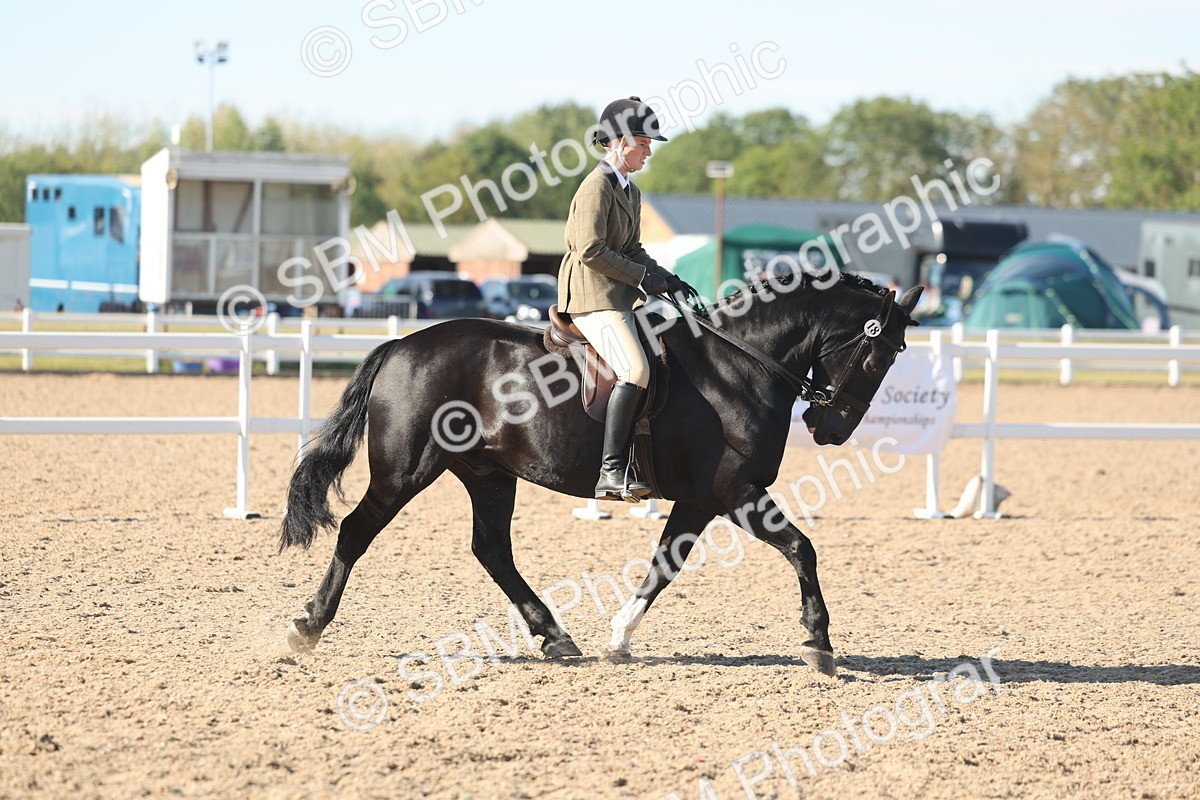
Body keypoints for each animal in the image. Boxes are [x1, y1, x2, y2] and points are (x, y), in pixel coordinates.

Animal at [279, 271, 922, 676]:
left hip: (488, 475)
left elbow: (664, 566)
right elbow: (801, 548)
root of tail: (401, 344)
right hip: (405, 472)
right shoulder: (734, 491)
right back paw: (308, 626)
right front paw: (819, 642)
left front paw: (618, 638)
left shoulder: (700, 501)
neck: (740, 365)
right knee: (357, 532)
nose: (830, 428)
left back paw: (556, 637)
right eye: (881, 353)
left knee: (492, 550)